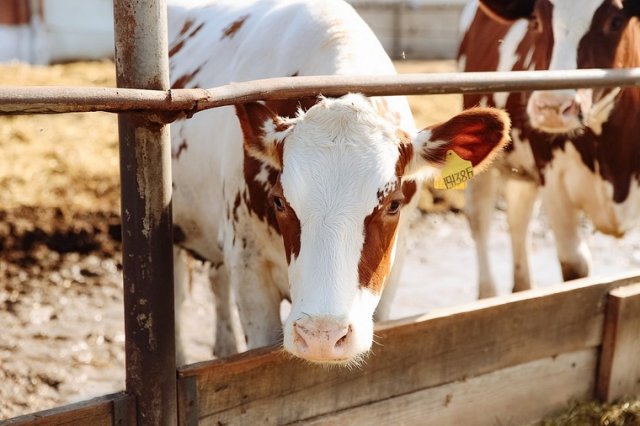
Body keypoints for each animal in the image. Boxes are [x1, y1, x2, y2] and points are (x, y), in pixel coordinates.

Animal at [459, 0, 640, 298]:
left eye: (616, 20)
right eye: (536, 19)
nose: (551, 106)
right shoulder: (554, 180)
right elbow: (575, 265)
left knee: (519, 218)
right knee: (480, 218)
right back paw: (488, 295)